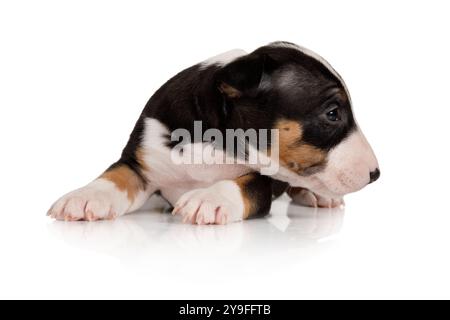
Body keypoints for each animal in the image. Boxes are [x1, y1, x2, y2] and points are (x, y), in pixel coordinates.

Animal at [48, 41, 380, 224]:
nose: (376, 174)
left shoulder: (263, 180)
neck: (212, 142)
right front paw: (85, 197)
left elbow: (242, 184)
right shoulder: (141, 159)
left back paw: (317, 196)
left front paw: (209, 199)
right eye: (333, 113)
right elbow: (116, 175)